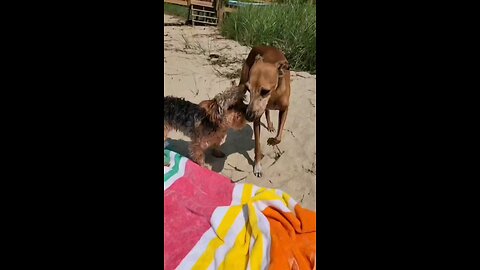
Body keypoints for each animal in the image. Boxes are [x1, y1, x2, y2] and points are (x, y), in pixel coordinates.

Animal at [239, 46, 290, 177]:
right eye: (249, 89)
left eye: (265, 91)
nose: (248, 116)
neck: (274, 94)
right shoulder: (256, 117)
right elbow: (257, 145)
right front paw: (257, 166)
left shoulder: (284, 110)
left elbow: (278, 138)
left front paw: (272, 141)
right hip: (242, 81)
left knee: (267, 111)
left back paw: (270, 125)